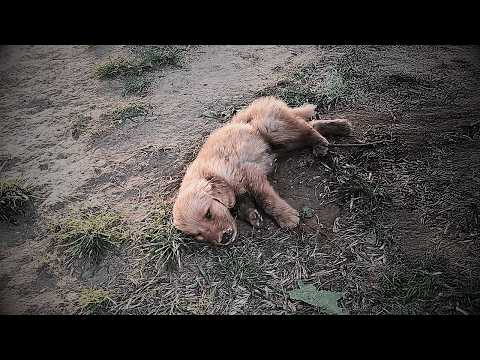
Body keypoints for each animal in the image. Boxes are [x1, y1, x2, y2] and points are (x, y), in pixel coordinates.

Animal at [173, 97, 352, 246]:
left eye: (208, 214)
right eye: (199, 235)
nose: (223, 239)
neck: (216, 172)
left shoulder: (250, 172)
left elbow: (266, 199)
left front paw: (286, 217)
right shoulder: (240, 188)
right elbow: (242, 204)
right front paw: (252, 215)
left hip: (271, 127)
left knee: (307, 129)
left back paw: (322, 141)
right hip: (283, 139)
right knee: (310, 125)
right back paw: (340, 127)